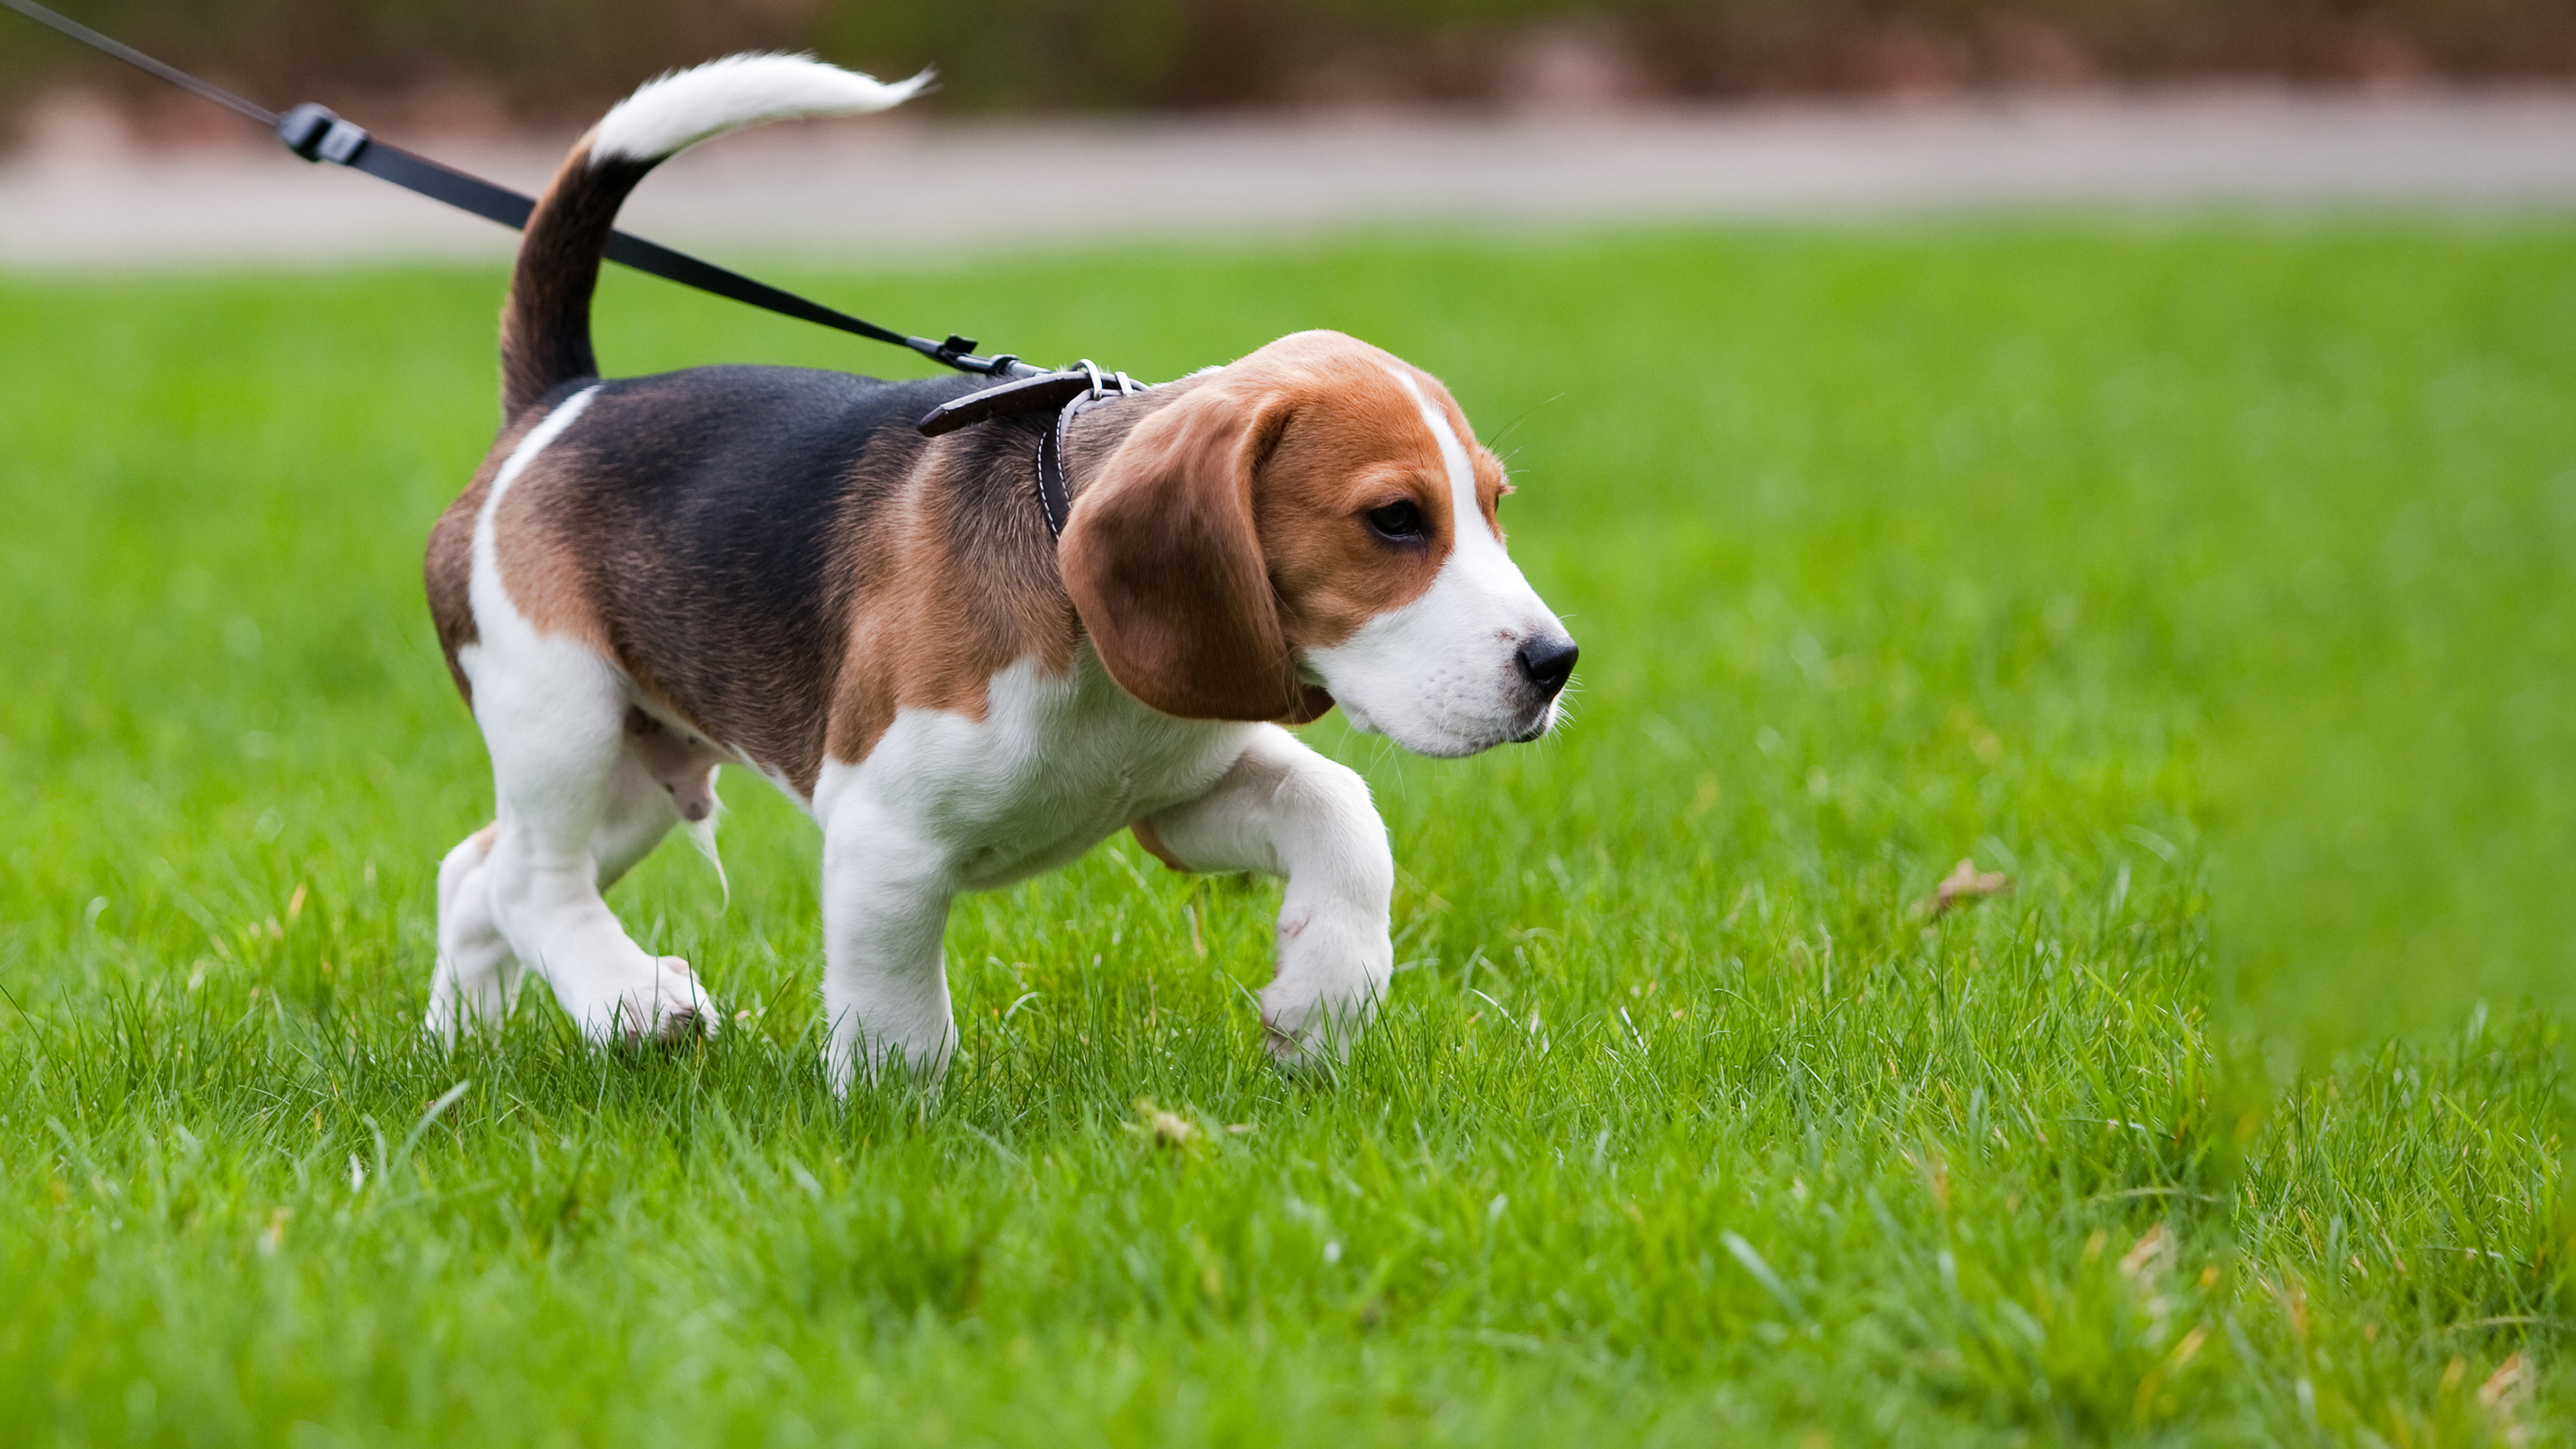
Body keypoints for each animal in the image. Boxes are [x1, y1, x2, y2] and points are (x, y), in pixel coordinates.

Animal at [415, 53, 1576, 1083]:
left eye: (1495, 507)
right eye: (1394, 520)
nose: (1555, 663)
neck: (1093, 655)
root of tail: (565, 401)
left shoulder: (1178, 796)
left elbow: (1340, 812)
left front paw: (1323, 1002)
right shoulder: (883, 838)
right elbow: (898, 1018)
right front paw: (896, 1124)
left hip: (640, 769)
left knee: (474, 873)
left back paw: (458, 1050)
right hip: (561, 710)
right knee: (530, 883)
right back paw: (630, 999)